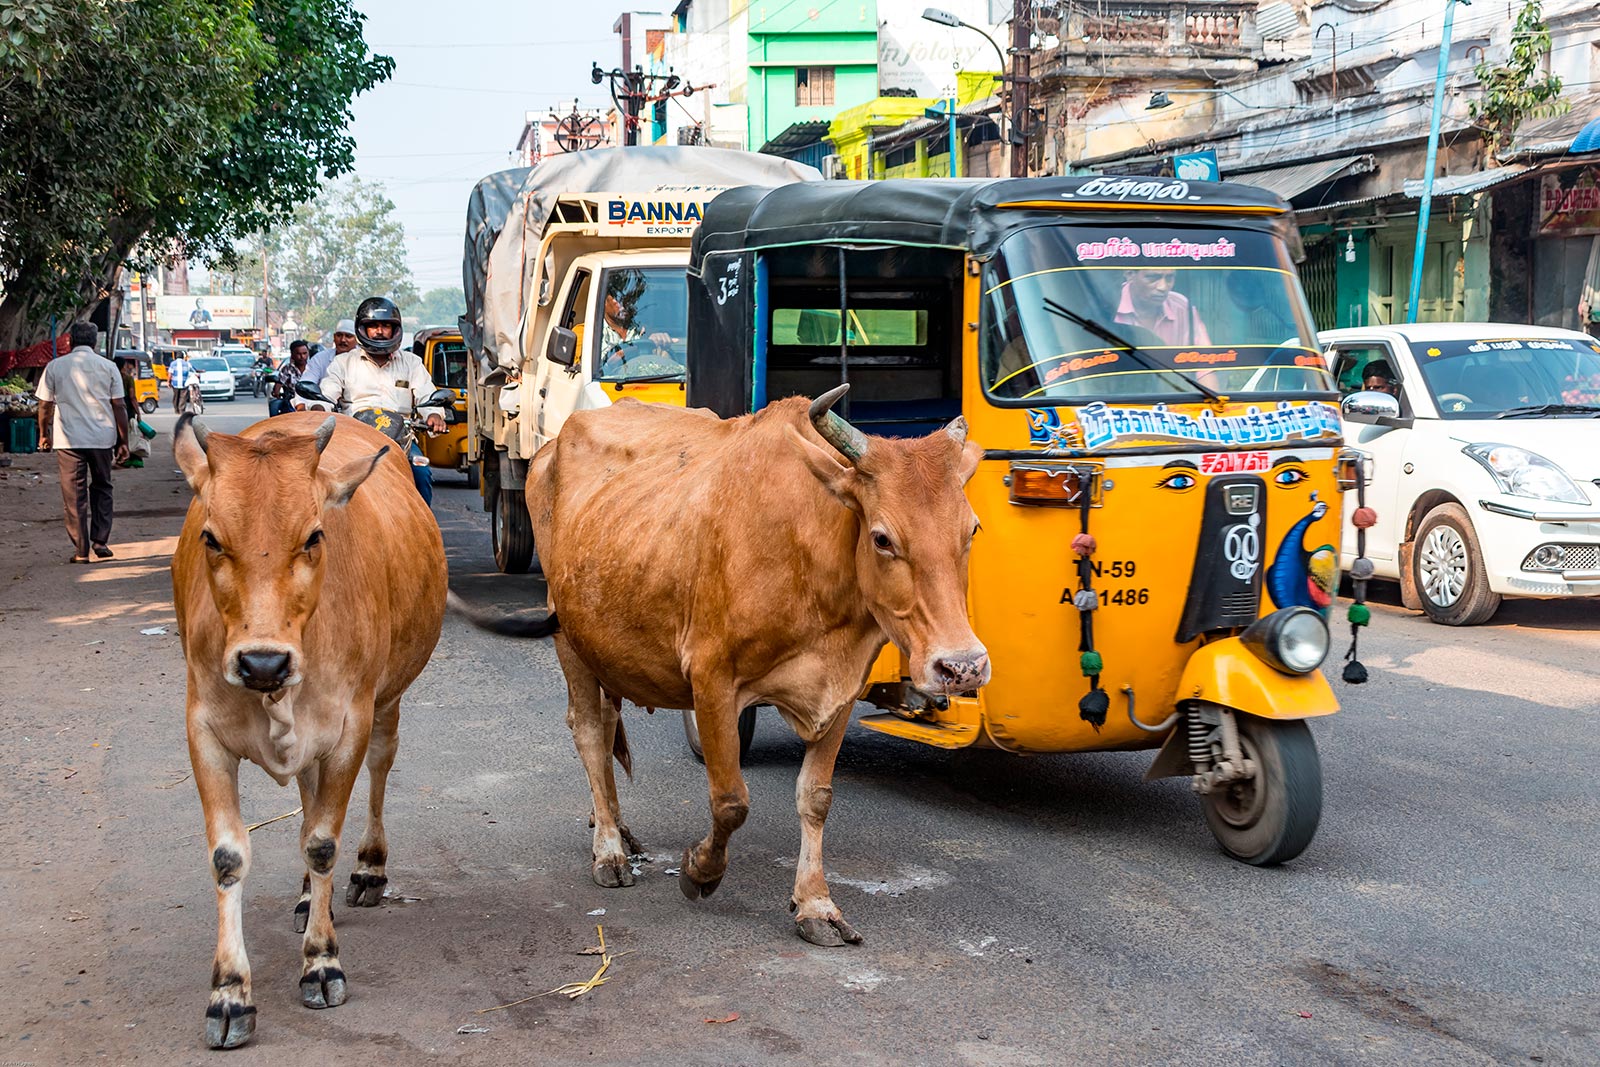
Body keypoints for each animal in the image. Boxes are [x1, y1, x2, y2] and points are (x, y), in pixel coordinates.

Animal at [172, 412, 448, 1049]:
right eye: (211, 538)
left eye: (315, 536)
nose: (262, 663)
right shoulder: (203, 732)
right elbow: (228, 856)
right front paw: (229, 994)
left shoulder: (349, 727)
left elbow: (323, 841)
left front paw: (321, 962)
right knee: (304, 796)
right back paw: (304, 897)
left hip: (387, 701)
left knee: (378, 769)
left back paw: (369, 868)